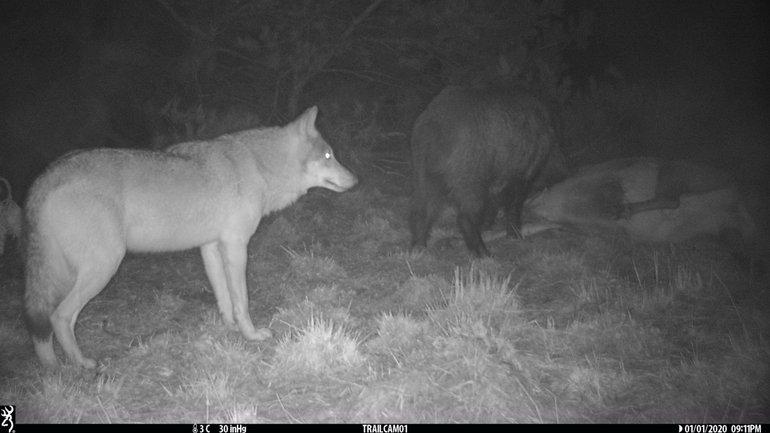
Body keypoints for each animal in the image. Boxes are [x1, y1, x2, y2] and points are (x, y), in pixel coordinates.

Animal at [24, 106, 358, 368]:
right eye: (328, 155)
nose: (355, 180)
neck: (259, 166)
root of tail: (47, 176)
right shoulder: (236, 246)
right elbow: (242, 299)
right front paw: (251, 335)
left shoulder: (210, 247)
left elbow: (224, 297)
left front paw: (229, 329)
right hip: (101, 268)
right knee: (59, 317)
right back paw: (80, 364)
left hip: (68, 273)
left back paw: (53, 369)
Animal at [409, 86, 565, 257]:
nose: (562, 170)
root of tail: (436, 125)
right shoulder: (522, 175)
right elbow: (514, 203)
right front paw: (515, 236)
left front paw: (488, 227)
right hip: (470, 174)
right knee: (465, 215)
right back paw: (484, 253)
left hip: (422, 169)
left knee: (422, 207)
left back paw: (418, 248)